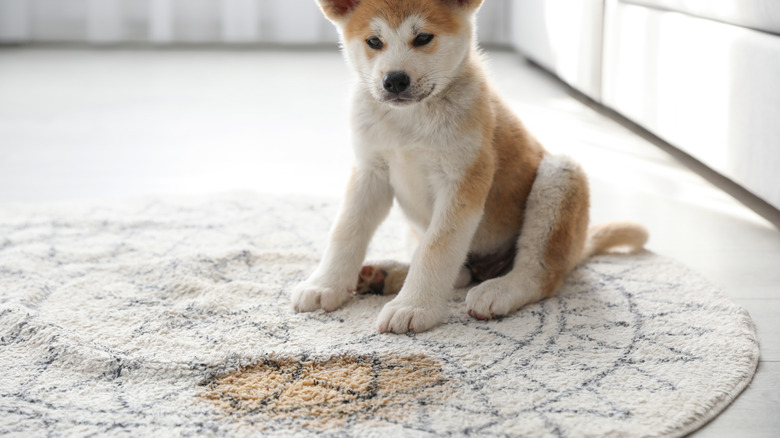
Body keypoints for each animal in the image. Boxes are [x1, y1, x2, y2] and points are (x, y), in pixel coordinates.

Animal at [290, 0, 644, 334]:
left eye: (423, 38)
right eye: (374, 41)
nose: (395, 80)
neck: (410, 121)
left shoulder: (462, 180)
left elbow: (437, 249)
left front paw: (414, 306)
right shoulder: (370, 172)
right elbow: (346, 231)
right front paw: (325, 284)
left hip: (559, 175)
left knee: (540, 273)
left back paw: (499, 290)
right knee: (460, 273)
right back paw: (384, 274)